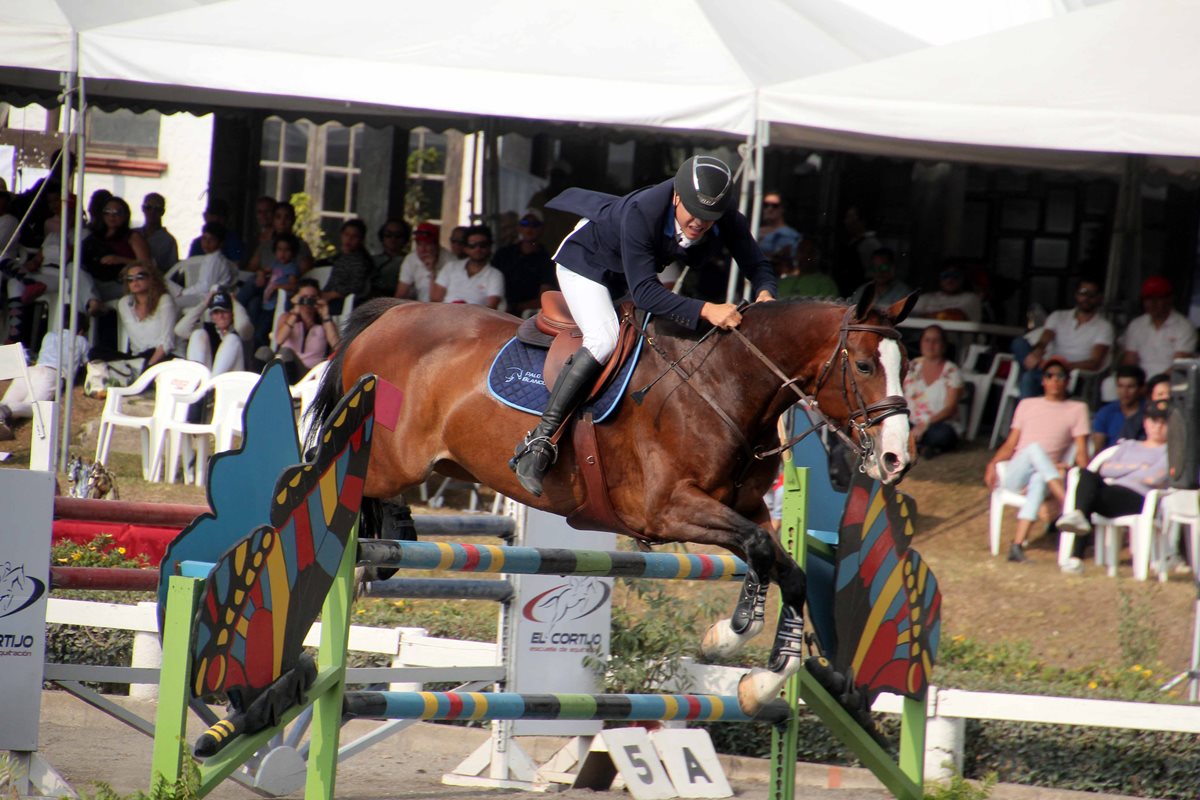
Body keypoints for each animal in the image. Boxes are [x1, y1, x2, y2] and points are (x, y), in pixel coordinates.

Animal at [312, 287, 916, 714]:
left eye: (906, 365)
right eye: (865, 366)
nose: (896, 460)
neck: (726, 383)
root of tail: (392, 314)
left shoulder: (745, 507)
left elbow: (785, 566)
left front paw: (764, 682)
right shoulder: (667, 509)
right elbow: (762, 550)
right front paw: (729, 637)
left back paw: (389, 546)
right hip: (394, 457)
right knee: (350, 480)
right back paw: (364, 558)